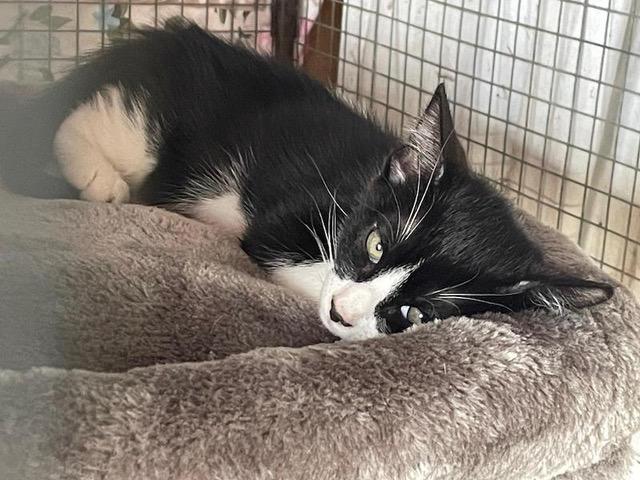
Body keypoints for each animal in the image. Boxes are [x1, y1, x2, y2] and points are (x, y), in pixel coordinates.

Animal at [1, 20, 613, 341]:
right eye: (375, 244)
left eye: (418, 313)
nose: (343, 312)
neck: (359, 187)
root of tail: (161, 38)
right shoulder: (287, 219)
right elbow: (288, 258)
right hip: (159, 122)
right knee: (95, 120)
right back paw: (98, 176)